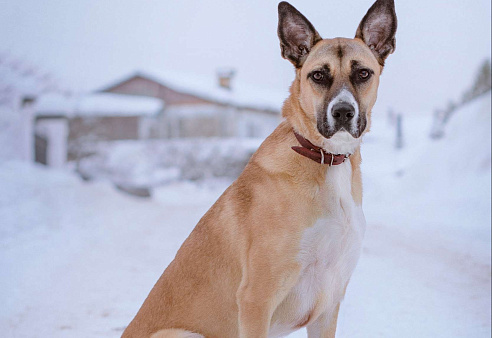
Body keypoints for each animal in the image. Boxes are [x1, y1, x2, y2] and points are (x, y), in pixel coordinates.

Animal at [122, 1, 396, 336]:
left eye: (363, 73)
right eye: (318, 75)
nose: (343, 112)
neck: (325, 158)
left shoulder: (329, 303)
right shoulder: (257, 299)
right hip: (179, 332)